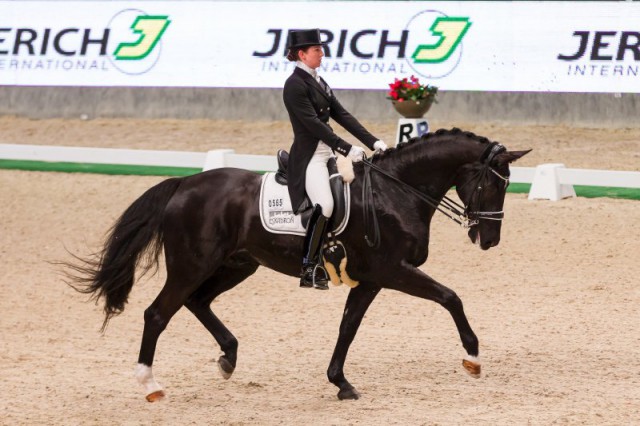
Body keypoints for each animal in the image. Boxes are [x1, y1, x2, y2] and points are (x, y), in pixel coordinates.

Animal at [69, 128, 528, 402]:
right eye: (492, 184)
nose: (489, 239)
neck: (395, 193)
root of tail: (184, 184)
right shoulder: (392, 271)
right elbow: (451, 297)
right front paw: (473, 358)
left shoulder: (370, 280)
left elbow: (348, 327)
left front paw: (340, 383)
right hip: (192, 265)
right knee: (158, 313)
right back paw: (151, 385)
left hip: (237, 265)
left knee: (198, 303)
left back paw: (228, 358)